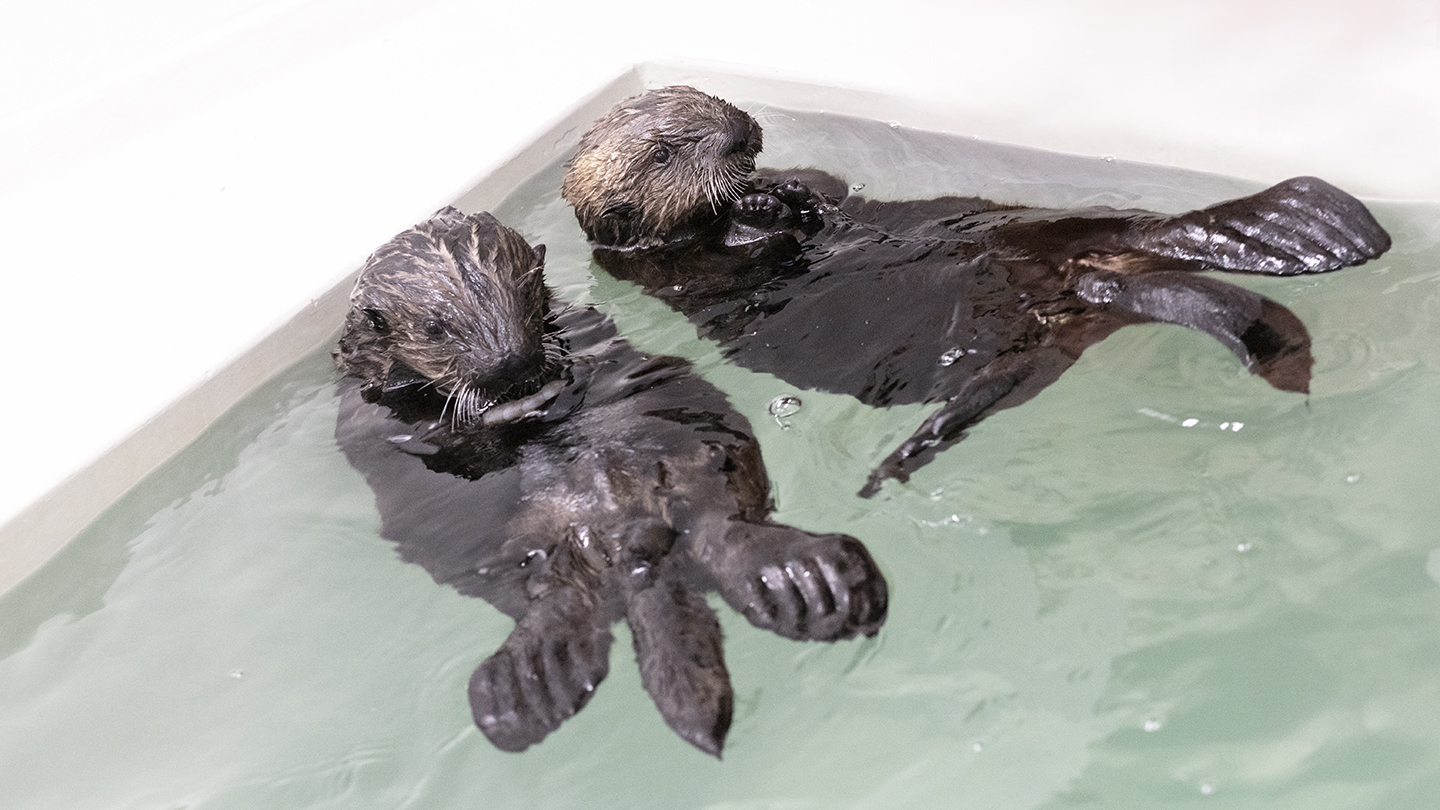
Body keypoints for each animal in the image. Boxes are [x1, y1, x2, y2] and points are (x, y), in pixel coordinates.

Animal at [333, 208, 887, 757]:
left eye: (526, 299)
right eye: (435, 327)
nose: (511, 364)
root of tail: (629, 541)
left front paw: (548, 384)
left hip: (698, 456)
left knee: (718, 523)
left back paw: (817, 580)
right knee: (560, 597)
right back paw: (530, 685)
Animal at [561, 86, 1393, 496]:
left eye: (709, 104)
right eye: (665, 152)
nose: (742, 134)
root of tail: (1079, 282)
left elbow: (823, 190)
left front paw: (793, 194)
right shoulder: (669, 263)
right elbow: (737, 250)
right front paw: (765, 208)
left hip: (1055, 238)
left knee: (1154, 233)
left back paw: (1317, 227)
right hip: (1017, 350)